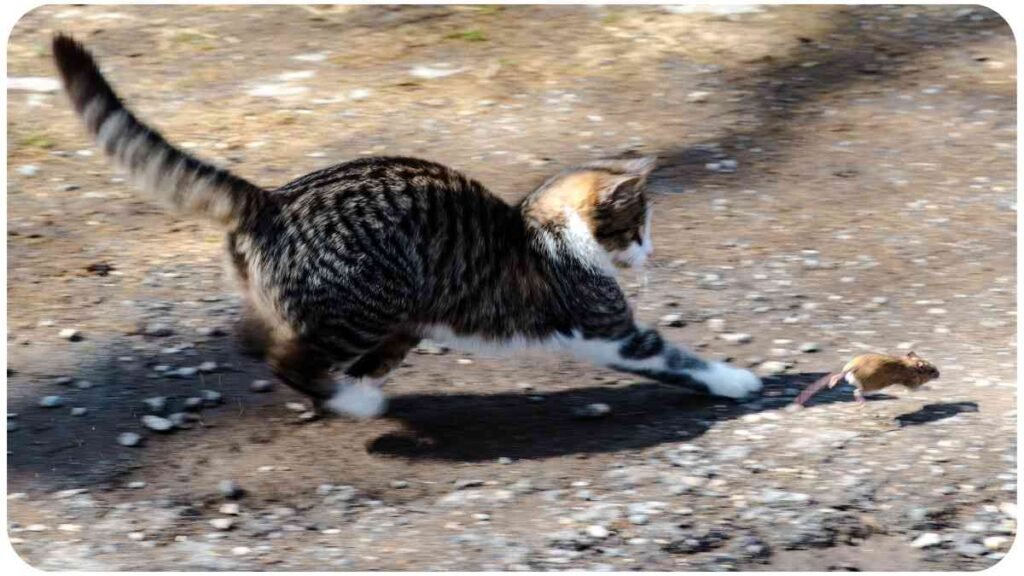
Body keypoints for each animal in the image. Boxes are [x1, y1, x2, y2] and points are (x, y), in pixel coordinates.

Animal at [51, 32, 765, 416]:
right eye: (637, 227)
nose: (649, 254)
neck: (545, 224)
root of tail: (272, 199)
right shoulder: (610, 332)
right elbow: (678, 357)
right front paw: (739, 381)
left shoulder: (416, 319)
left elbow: (383, 358)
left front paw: (360, 384)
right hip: (365, 300)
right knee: (287, 356)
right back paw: (352, 403)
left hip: (364, 302)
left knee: (254, 339)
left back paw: (342, 391)